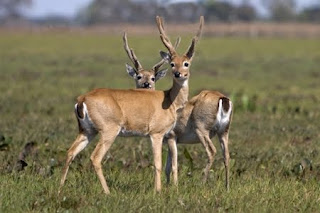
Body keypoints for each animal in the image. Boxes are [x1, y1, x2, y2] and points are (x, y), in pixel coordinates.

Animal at [57, 16, 204, 195]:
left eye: (186, 63)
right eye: (172, 63)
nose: (179, 74)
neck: (169, 100)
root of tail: (82, 99)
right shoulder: (156, 134)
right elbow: (158, 164)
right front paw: (158, 191)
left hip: (87, 131)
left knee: (70, 152)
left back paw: (60, 189)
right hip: (108, 131)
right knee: (95, 157)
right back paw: (108, 192)